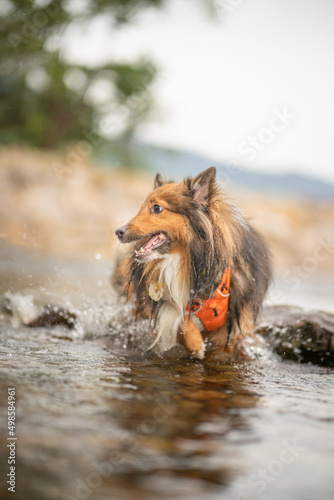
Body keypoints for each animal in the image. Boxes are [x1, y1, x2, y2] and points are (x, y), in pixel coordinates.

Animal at [114, 168, 272, 360]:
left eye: (157, 208)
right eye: (141, 208)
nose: (118, 232)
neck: (185, 261)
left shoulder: (233, 327)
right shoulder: (163, 301)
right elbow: (180, 318)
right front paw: (196, 344)